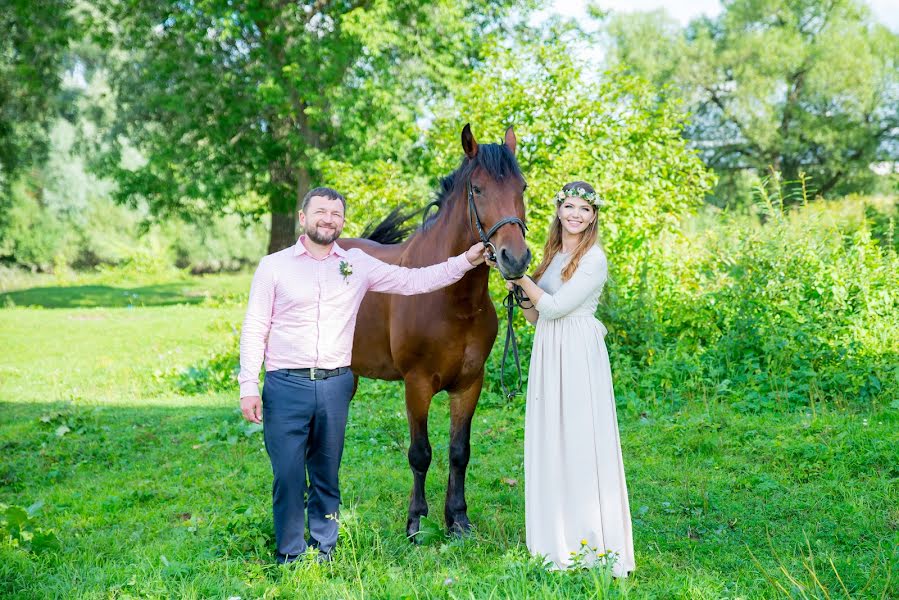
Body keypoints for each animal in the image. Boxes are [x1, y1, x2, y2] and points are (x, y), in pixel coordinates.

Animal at [342, 124, 532, 536]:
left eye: (522, 187)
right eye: (477, 189)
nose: (515, 258)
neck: (453, 300)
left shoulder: (469, 384)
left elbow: (459, 452)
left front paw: (457, 519)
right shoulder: (417, 385)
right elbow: (420, 453)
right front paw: (416, 521)